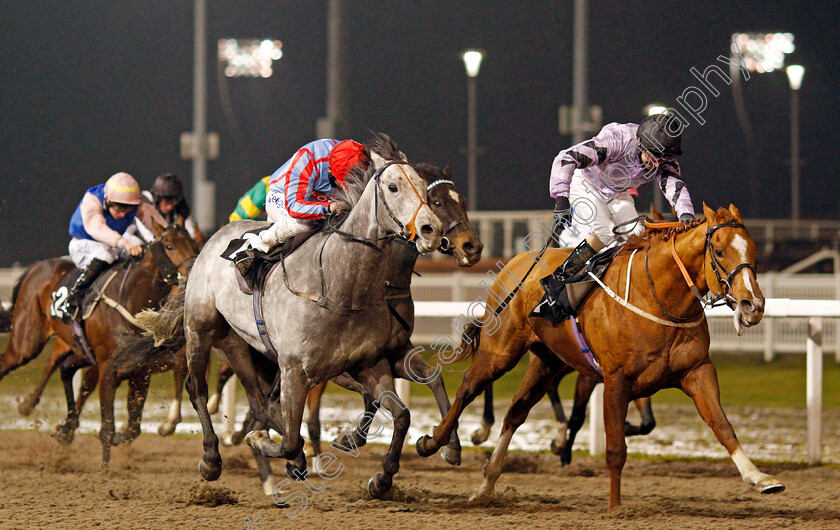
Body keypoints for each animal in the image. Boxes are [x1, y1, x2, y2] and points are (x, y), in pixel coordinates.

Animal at [0, 222, 195, 442]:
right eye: (170, 246)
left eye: (194, 243)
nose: (193, 269)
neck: (129, 296)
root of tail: (37, 266)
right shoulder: (111, 364)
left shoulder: (140, 367)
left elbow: (133, 428)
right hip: (26, 342)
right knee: (16, 362)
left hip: (80, 350)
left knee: (66, 368)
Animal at [416, 204, 784, 506]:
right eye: (719, 251)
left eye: (752, 250)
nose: (753, 304)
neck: (658, 297)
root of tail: (517, 262)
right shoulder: (614, 380)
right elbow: (614, 447)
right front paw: (615, 506)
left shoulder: (697, 371)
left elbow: (722, 426)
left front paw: (759, 477)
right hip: (500, 350)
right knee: (468, 388)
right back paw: (437, 443)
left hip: (547, 361)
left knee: (516, 412)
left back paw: (487, 483)